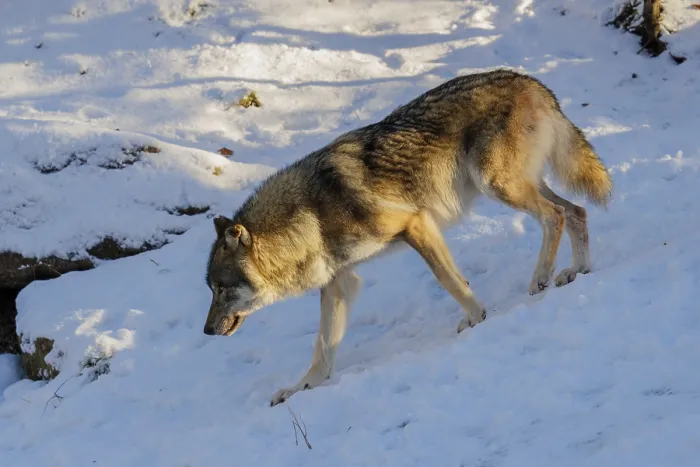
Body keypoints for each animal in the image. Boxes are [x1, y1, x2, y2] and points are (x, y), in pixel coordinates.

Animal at [203, 69, 612, 406]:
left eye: (221, 289)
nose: (206, 331)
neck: (310, 216)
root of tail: (532, 81)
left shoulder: (415, 224)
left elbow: (450, 280)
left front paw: (477, 317)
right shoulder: (339, 283)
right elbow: (322, 349)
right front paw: (301, 389)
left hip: (497, 185)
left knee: (556, 215)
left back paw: (540, 278)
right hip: (522, 185)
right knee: (576, 211)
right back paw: (576, 271)